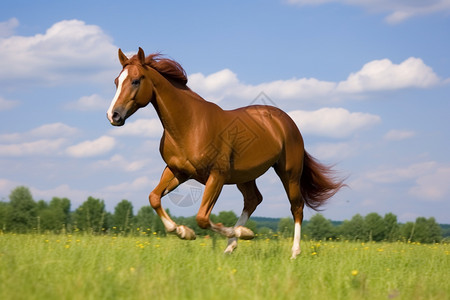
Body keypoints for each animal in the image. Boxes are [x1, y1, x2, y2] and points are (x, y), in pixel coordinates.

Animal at [106, 47, 344, 258]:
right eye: (117, 81)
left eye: (136, 80)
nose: (113, 115)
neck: (190, 125)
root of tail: (286, 121)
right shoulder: (177, 171)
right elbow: (154, 198)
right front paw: (184, 232)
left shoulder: (216, 176)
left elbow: (202, 217)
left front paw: (244, 233)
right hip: (245, 176)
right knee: (253, 200)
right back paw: (230, 247)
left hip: (289, 173)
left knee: (297, 206)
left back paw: (293, 252)